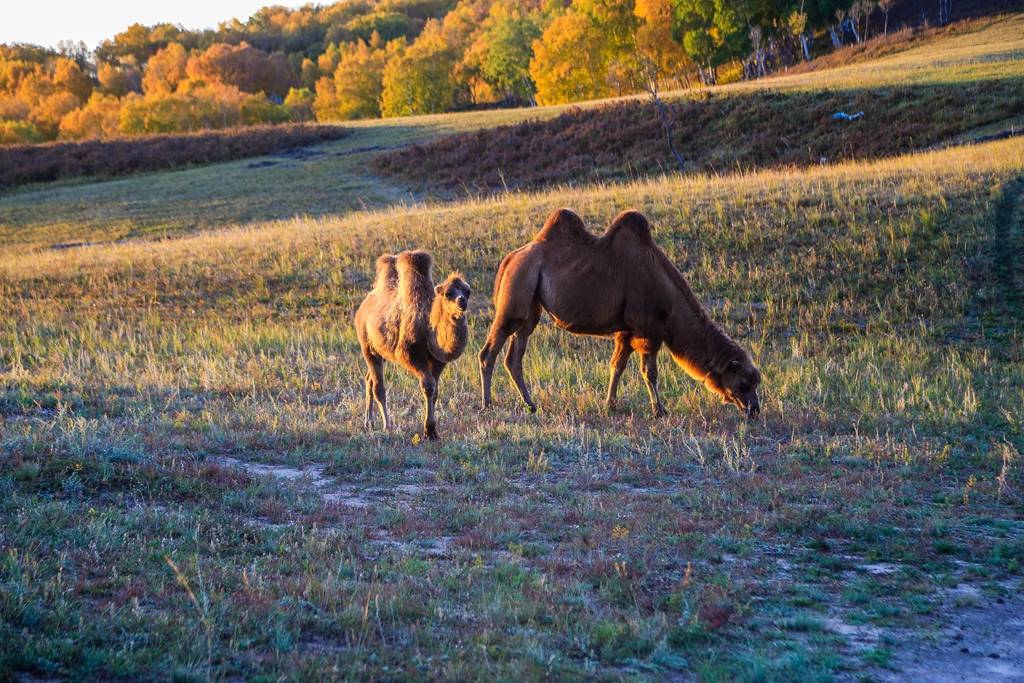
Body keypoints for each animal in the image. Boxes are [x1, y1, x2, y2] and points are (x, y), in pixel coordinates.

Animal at [356, 249, 471, 438]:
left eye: (468, 291)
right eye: (447, 294)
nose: (462, 301)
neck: (429, 325)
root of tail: (363, 307)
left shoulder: (438, 360)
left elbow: (435, 390)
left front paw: (432, 430)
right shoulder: (409, 354)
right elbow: (428, 386)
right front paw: (429, 430)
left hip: (382, 351)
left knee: (369, 380)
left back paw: (369, 423)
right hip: (367, 346)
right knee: (378, 387)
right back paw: (387, 425)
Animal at [479, 205, 761, 419]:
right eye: (743, 383)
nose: (754, 410)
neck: (670, 301)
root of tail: (508, 260)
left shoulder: (626, 330)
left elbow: (617, 366)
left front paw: (610, 404)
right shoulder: (648, 330)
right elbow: (649, 372)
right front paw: (659, 410)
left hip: (531, 308)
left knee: (514, 355)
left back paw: (530, 404)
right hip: (515, 297)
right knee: (488, 352)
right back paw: (488, 404)